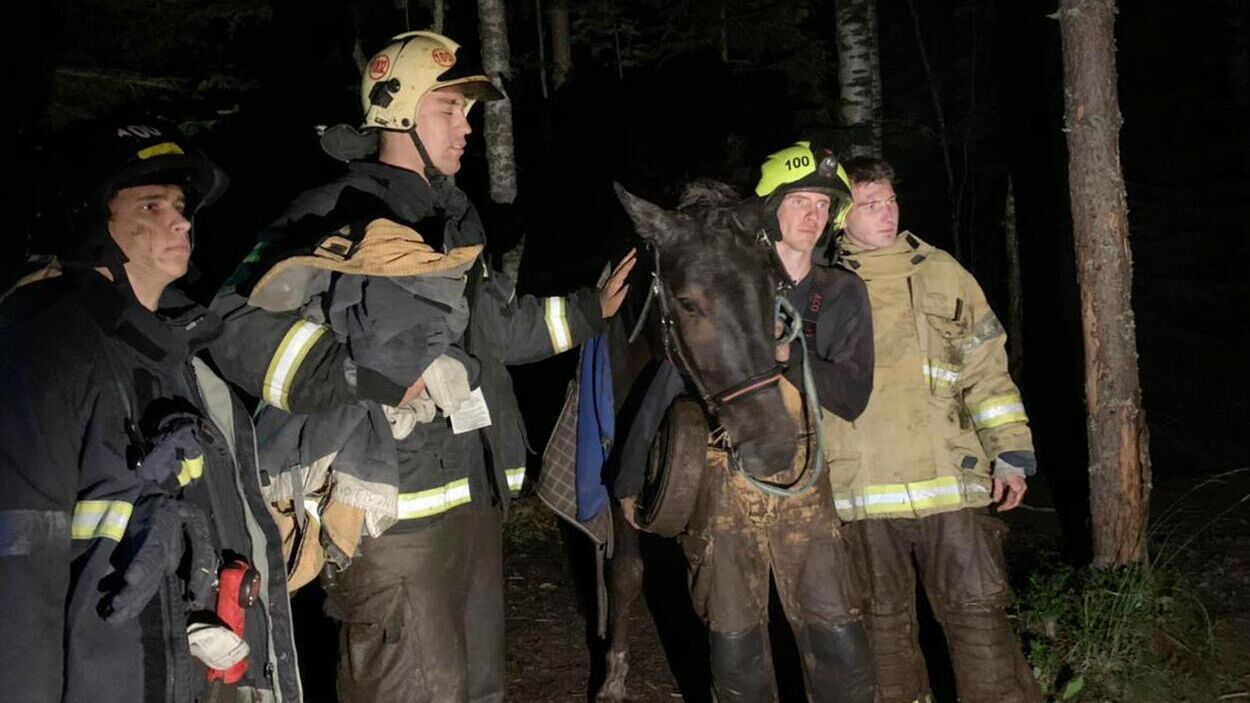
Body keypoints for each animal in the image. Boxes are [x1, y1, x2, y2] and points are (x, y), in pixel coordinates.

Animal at [590, 183, 795, 695]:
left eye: (773, 292)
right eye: (686, 303)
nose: (774, 444)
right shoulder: (616, 473)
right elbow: (626, 573)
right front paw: (614, 678)